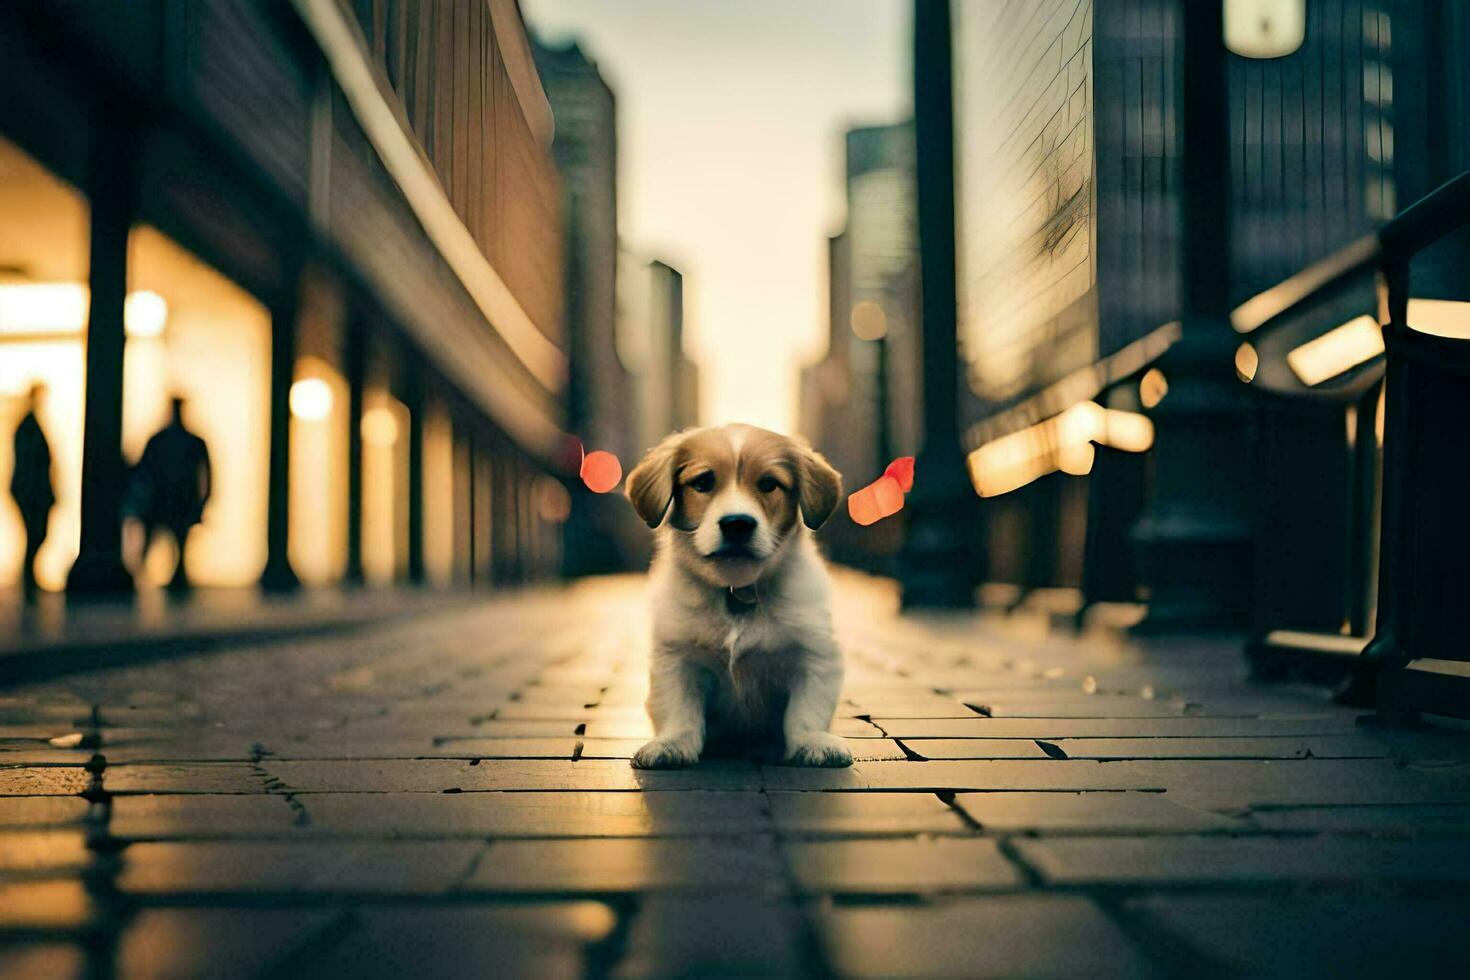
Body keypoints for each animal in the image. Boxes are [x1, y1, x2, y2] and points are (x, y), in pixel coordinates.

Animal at [620, 426, 852, 769]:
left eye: (769, 484)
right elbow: (679, 710)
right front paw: (672, 743)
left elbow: (806, 711)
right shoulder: (677, 658)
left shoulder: (815, 655)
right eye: (703, 482)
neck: (736, 589)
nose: (737, 524)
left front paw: (813, 742)